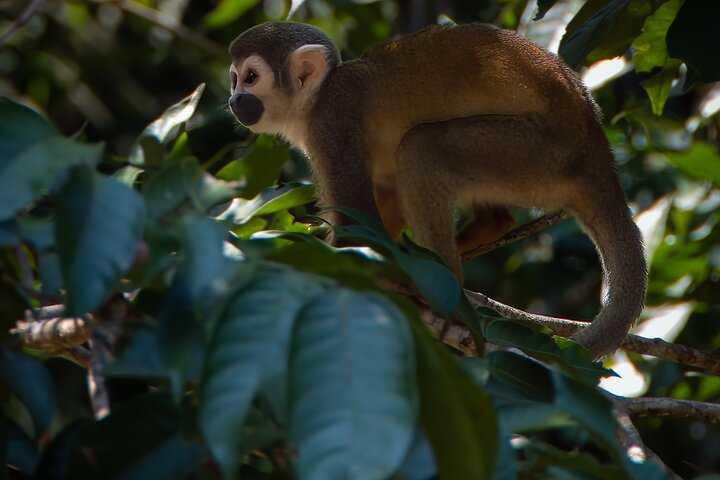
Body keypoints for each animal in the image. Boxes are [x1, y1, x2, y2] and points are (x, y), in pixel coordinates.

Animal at [225, 22, 648, 360]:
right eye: (234, 79)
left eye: (250, 77)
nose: (233, 99)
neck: (317, 98)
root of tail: (597, 153)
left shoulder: (332, 122)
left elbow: (359, 225)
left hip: (542, 156)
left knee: (422, 148)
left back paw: (445, 281)